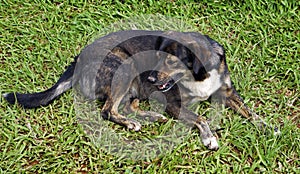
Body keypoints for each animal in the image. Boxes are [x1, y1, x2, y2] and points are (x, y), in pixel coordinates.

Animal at [2, 29, 274, 150]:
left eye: (170, 61)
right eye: (156, 56)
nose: (151, 77)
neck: (199, 76)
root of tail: (78, 59)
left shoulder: (227, 92)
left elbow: (250, 112)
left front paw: (268, 127)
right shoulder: (175, 103)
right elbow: (200, 117)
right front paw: (209, 138)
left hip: (134, 84)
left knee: (128, 105)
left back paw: (151, 116)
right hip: (125, 67)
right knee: (108, 109)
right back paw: (133, 122)